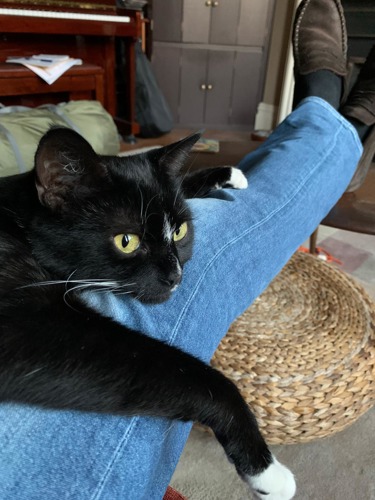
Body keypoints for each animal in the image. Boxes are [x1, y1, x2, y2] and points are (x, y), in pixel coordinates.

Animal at [0, 129, 296, 500]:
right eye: (126, 241)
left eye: (180, 231)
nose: (176, 275)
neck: (16, 222)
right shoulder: (27, 327)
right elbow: (191, 375)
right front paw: (266, 470)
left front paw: (227, 173)